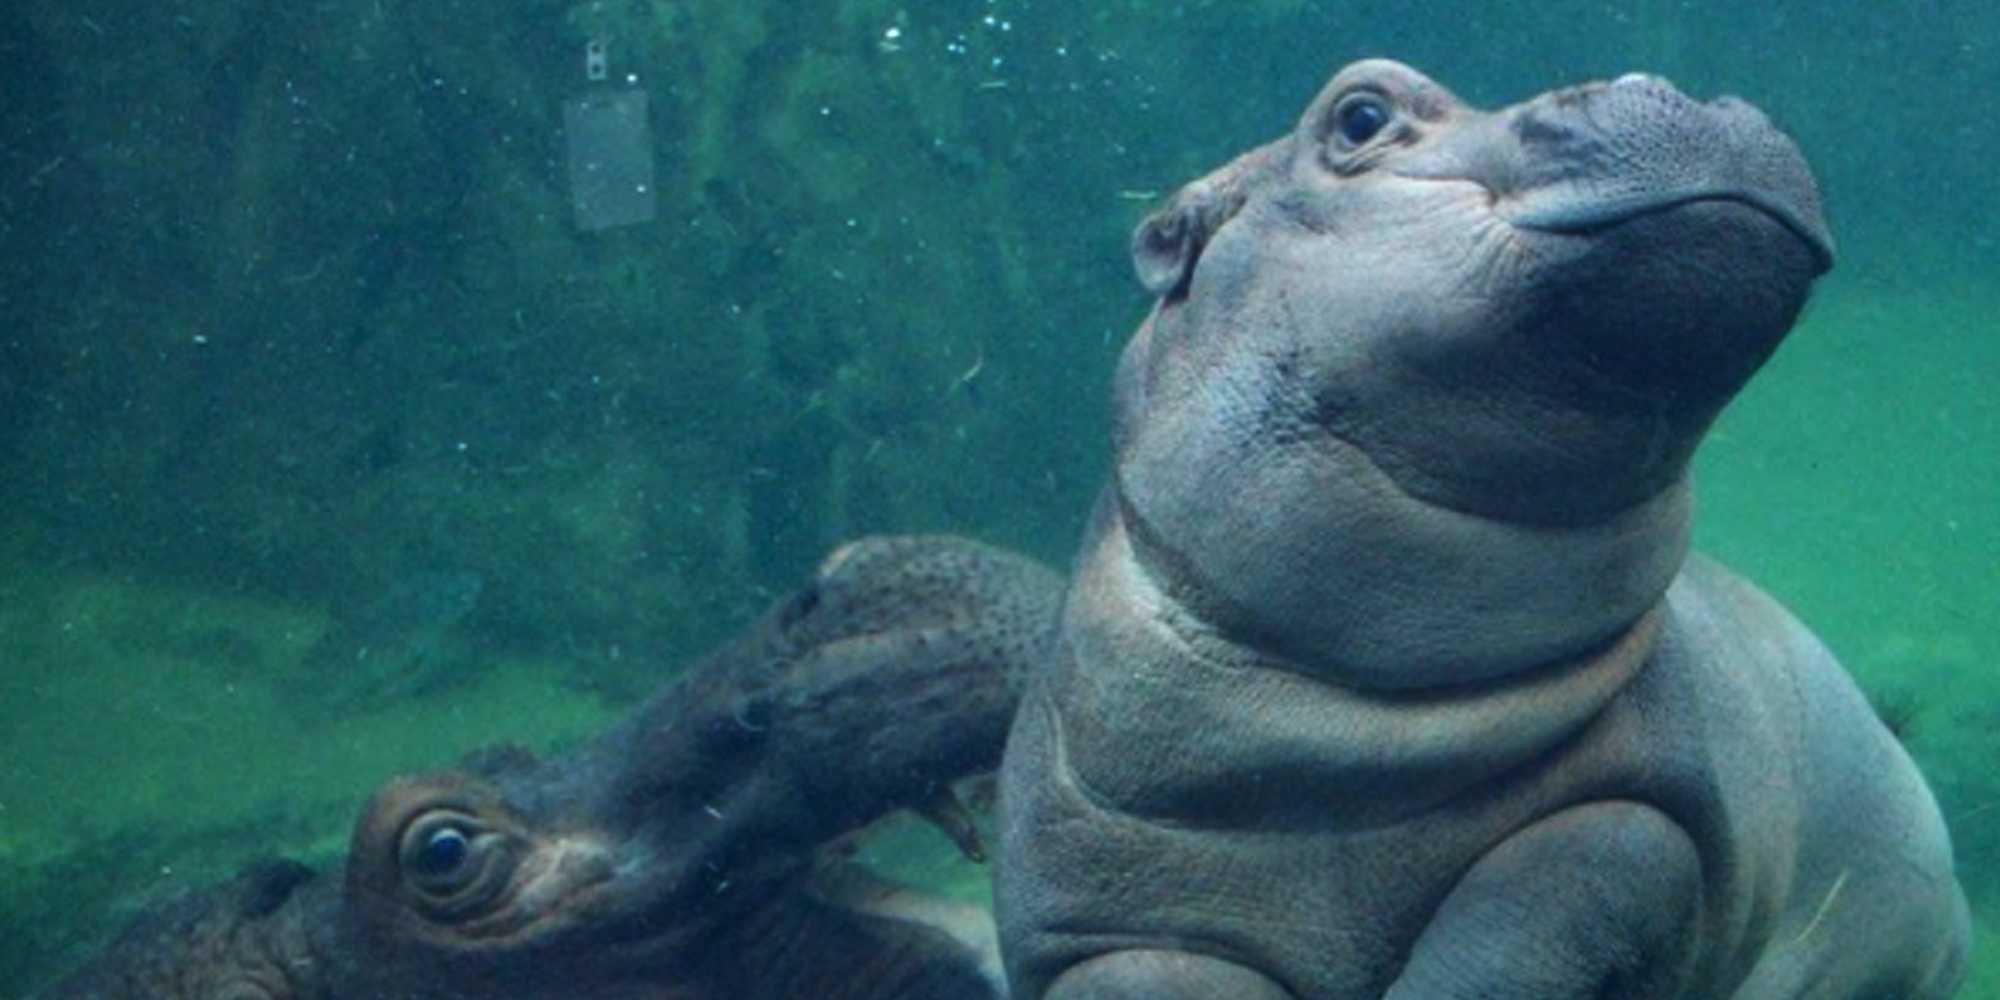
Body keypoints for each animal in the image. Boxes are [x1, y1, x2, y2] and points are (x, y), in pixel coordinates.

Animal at [994, 60, 1972, 999]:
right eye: (1360, 115)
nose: (1678, 85)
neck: (1329, 736)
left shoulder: (1642, 817)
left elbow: (1554, 897)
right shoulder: (1109, 930)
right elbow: (1142, 970)